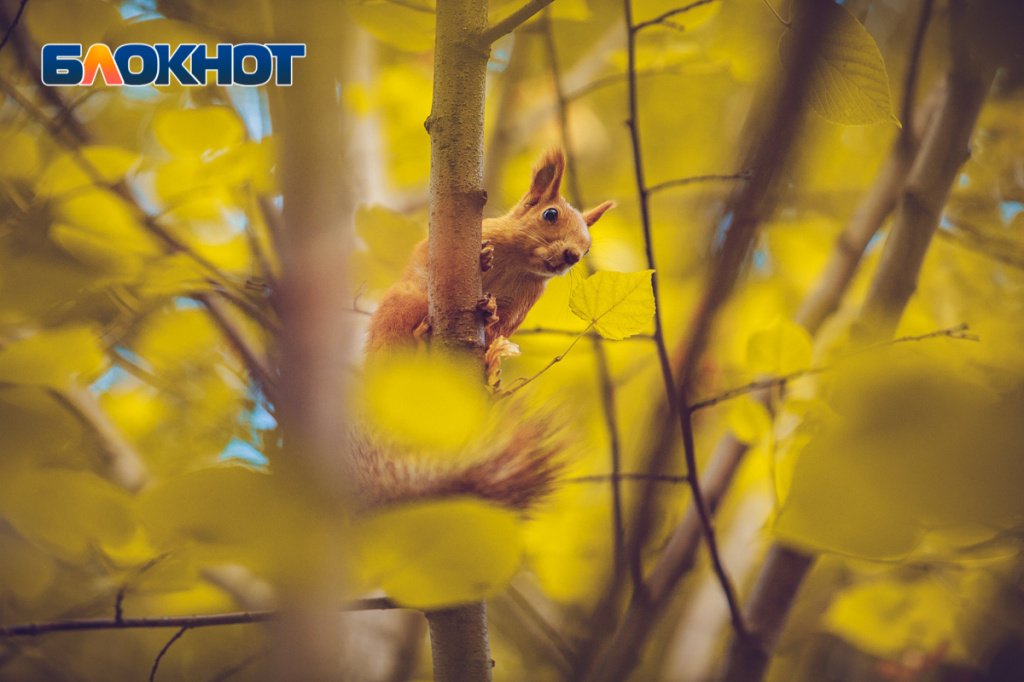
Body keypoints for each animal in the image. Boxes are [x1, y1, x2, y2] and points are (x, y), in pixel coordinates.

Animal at [368, 148, 614, 356]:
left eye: (588, 249)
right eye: (550, 214)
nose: (573, 256)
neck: (517, 263)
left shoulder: (520, 302)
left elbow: (498, 330)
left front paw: (489, 313)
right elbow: (429, 257)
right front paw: (485, 257)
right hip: (403, 304)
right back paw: (420, 339)